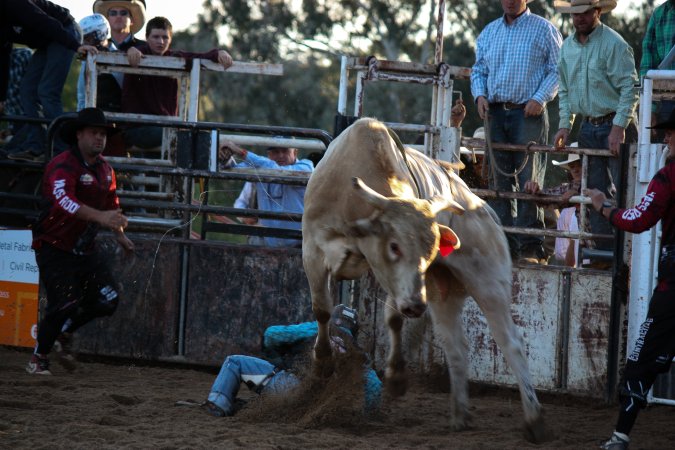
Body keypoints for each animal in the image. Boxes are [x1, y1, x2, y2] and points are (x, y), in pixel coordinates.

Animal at [302, 118, 547, 443]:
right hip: (444, 294)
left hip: (489, 282)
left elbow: (393, 318)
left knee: (511, 343)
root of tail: (486, 210)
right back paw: (459, 416)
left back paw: (534, 419)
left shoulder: (396, 279)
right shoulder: (313, 250)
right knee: (456, 346)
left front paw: (396, 377)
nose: (417, 307)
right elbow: (322, 309)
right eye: (394, 246)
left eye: (431, 252)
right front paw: (323, 364)